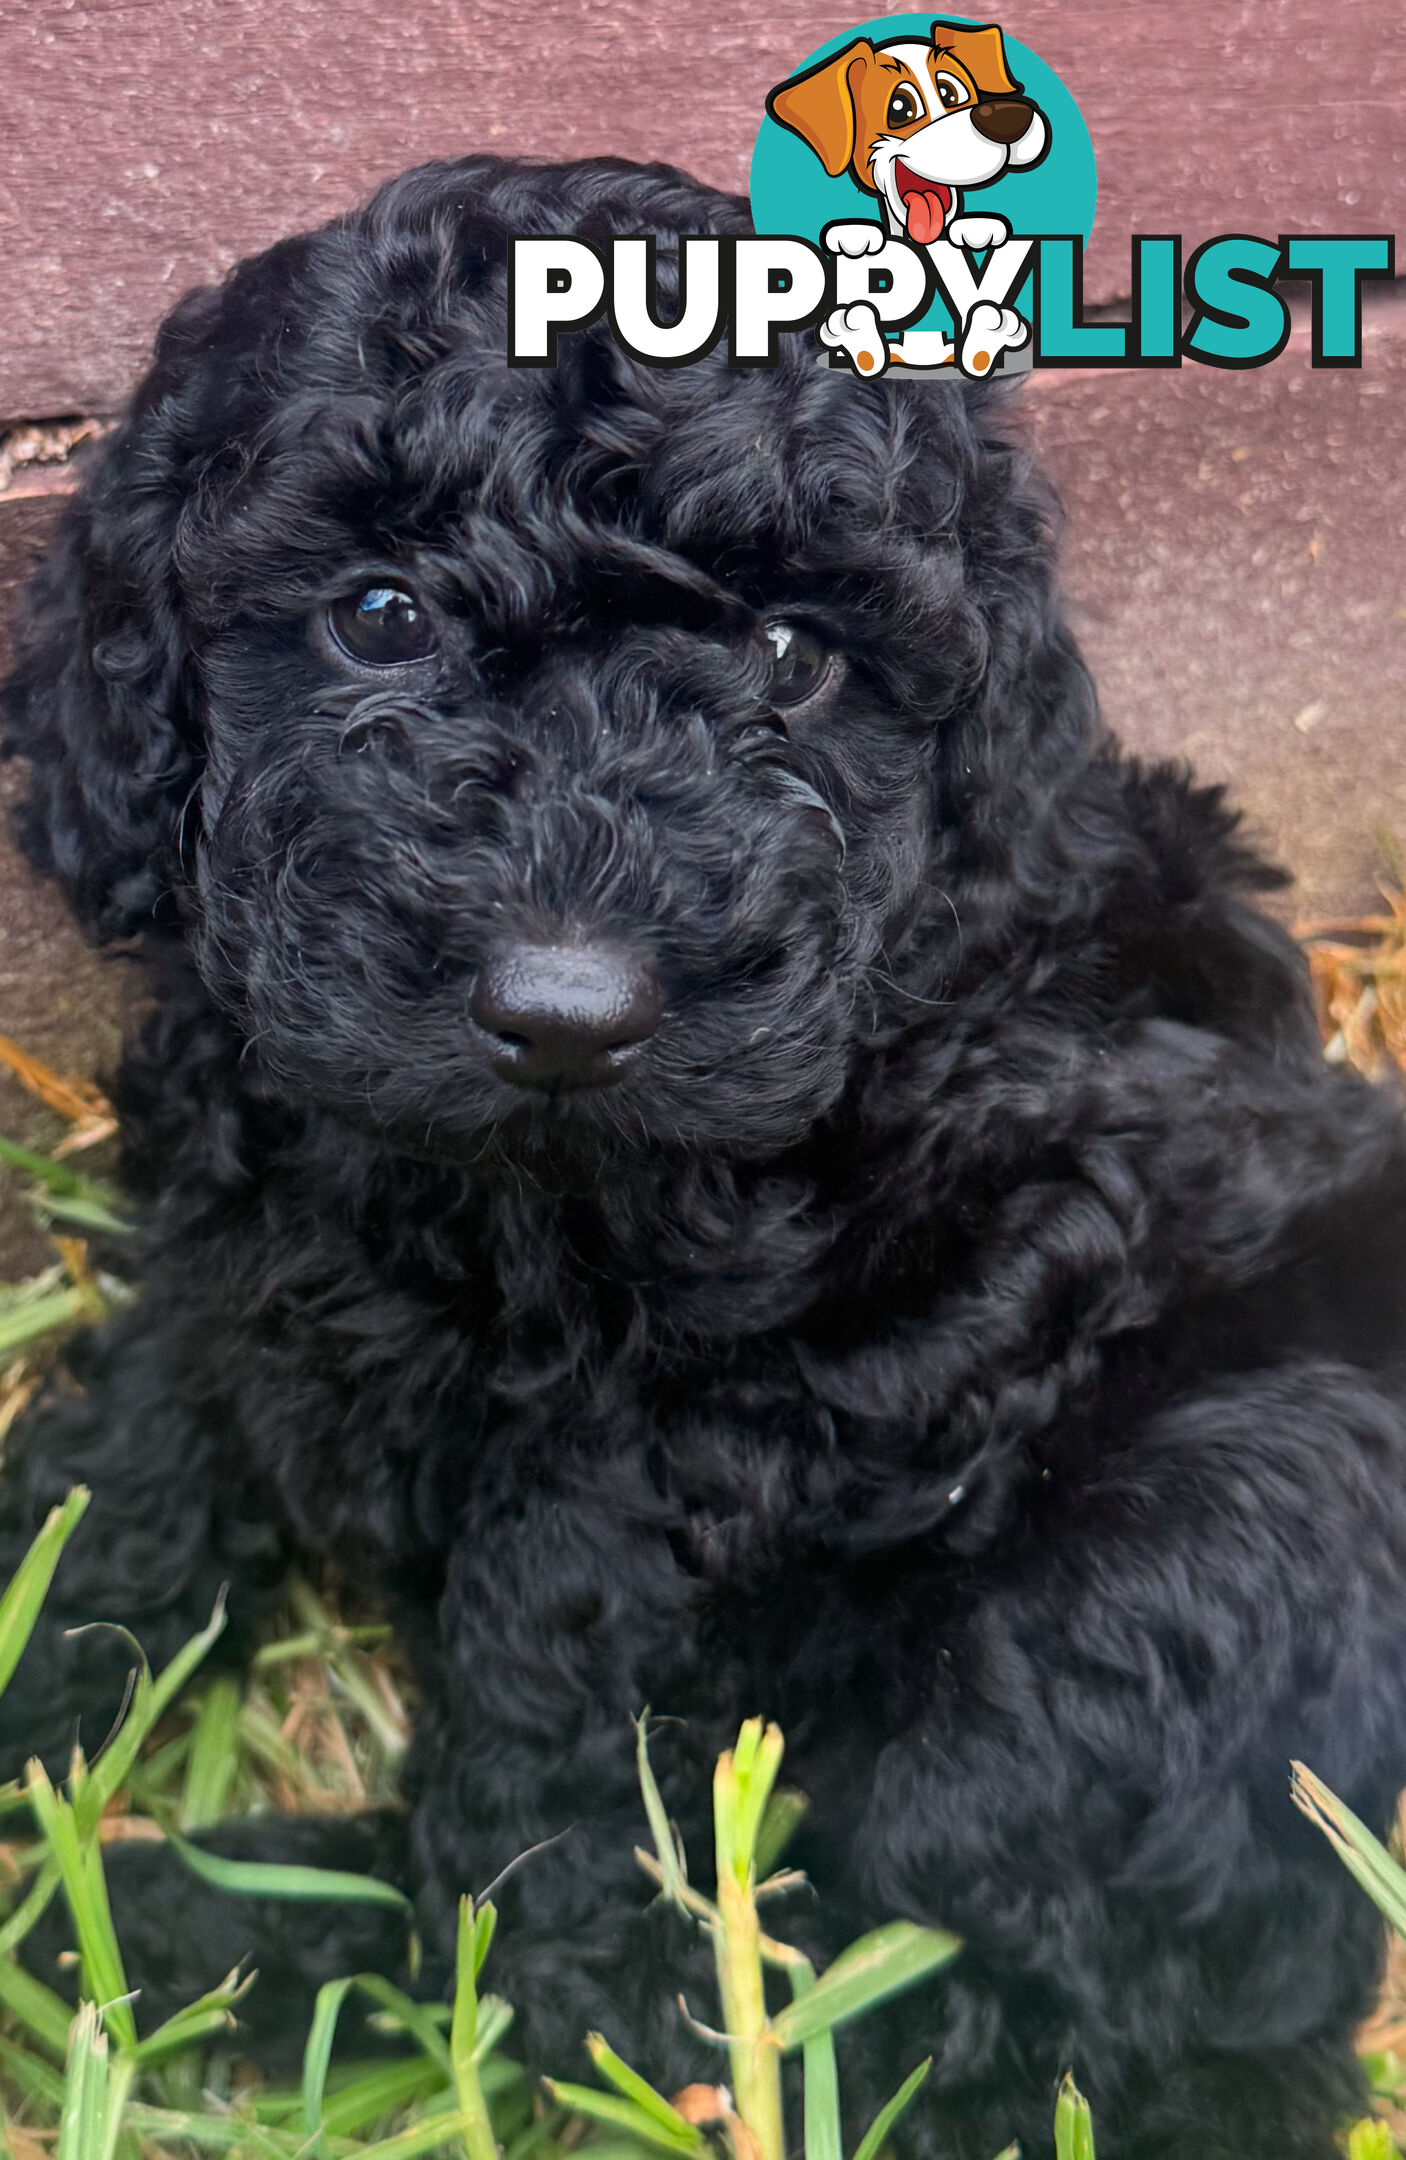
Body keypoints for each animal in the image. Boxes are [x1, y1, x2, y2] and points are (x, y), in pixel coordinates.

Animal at [2, 152, 1406, 2160]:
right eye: (377, 615)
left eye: (793, 658)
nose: (565, 1014)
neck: (503, 1191)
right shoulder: (247, 1206)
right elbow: (151, 1434)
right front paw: (53, 1632)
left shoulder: (740, 1424)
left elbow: (545, 1687)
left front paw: (438, 1928)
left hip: (1218, 1514)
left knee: (914, 2008)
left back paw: (222, 1945)